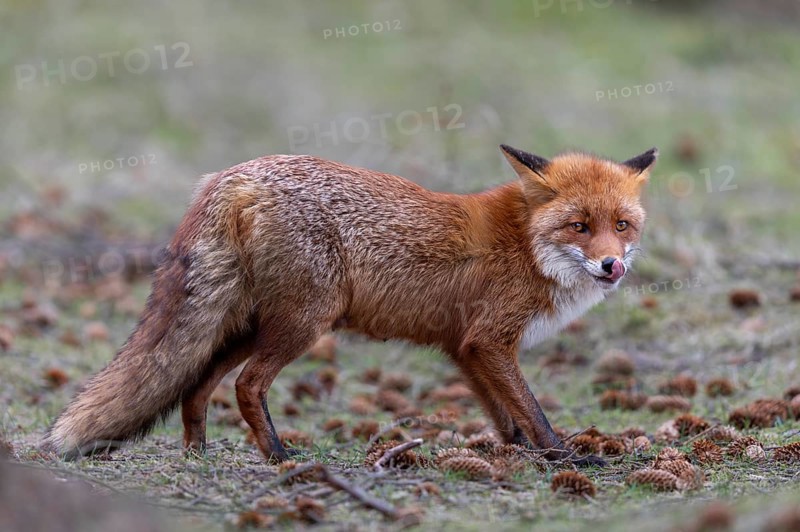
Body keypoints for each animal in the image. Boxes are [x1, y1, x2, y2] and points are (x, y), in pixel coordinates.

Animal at [44, 144, 657, 466]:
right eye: (580, 227)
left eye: (621, 225)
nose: (613, 266)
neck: (528, 247)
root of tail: (234, 174)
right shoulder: (490, 341)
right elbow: (533, 410)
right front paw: (566, 457)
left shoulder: (466, 349)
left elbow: (507, 416)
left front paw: (515, 454)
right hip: (304, 322)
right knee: (246, 384)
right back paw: (280, 457)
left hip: (248, 323)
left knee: (196, 384)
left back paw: (198, 452)